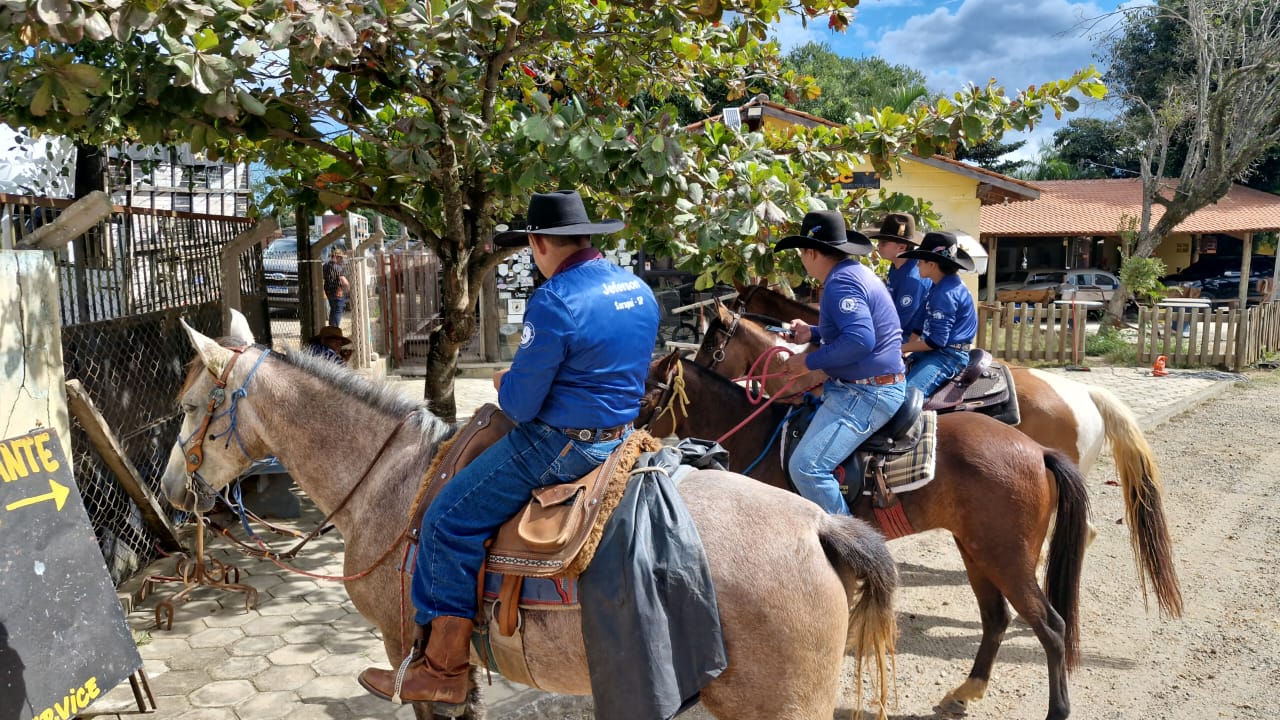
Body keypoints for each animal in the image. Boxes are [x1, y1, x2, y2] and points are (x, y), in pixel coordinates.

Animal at [640, 351, 1091, 720]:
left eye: (645, 397)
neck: (763, 439)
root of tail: (1038, 452)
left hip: (1007, 557)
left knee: (1051, 626)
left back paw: (1055, 709)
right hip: (976, 550)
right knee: (997, 618)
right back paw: (964, 693)